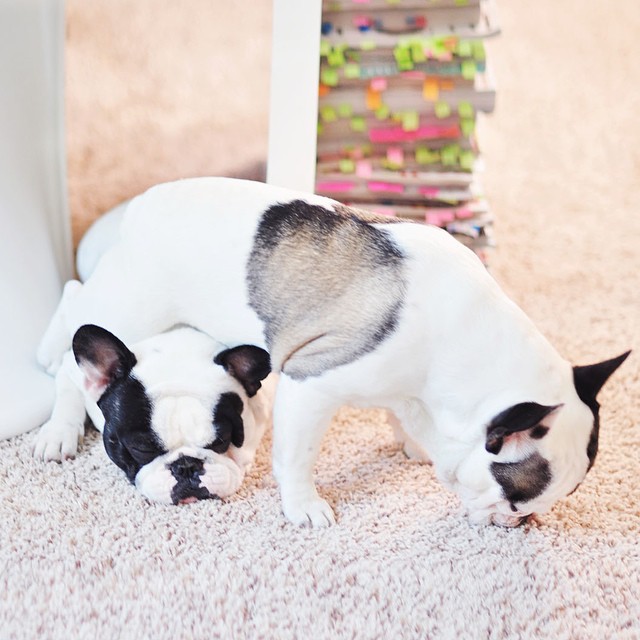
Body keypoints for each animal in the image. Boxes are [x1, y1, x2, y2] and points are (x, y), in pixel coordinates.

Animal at [33, 320, 272, 504]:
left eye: (222, 440)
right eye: (142, 448)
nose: (186, 467)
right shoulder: (69, 369)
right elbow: (67, 393)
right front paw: (58, 434)